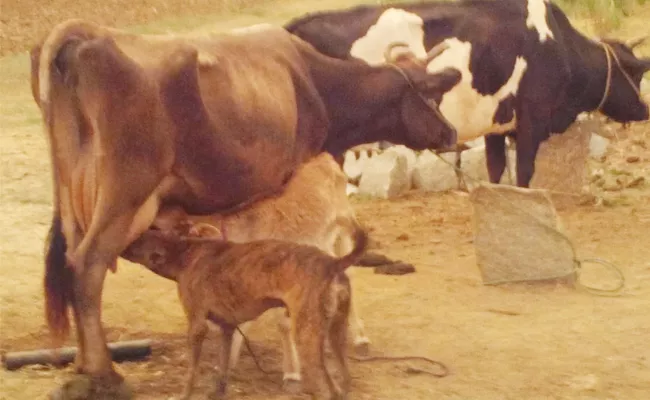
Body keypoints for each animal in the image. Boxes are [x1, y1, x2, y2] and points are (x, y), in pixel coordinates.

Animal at [30, 19, 456, 396]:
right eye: (432, 95)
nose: (451, 133)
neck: (315, 82)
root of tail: (88, 35)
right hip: (126, 194)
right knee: (89, 266)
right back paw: (104, 374)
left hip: (72, 199)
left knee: (71, 264)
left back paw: (81, 367)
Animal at [286, 0, 648, 187]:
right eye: (635, 71)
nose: (645, 110)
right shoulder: (532, 121)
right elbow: (524, 173)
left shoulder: (496, 125)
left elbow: (496, 170)